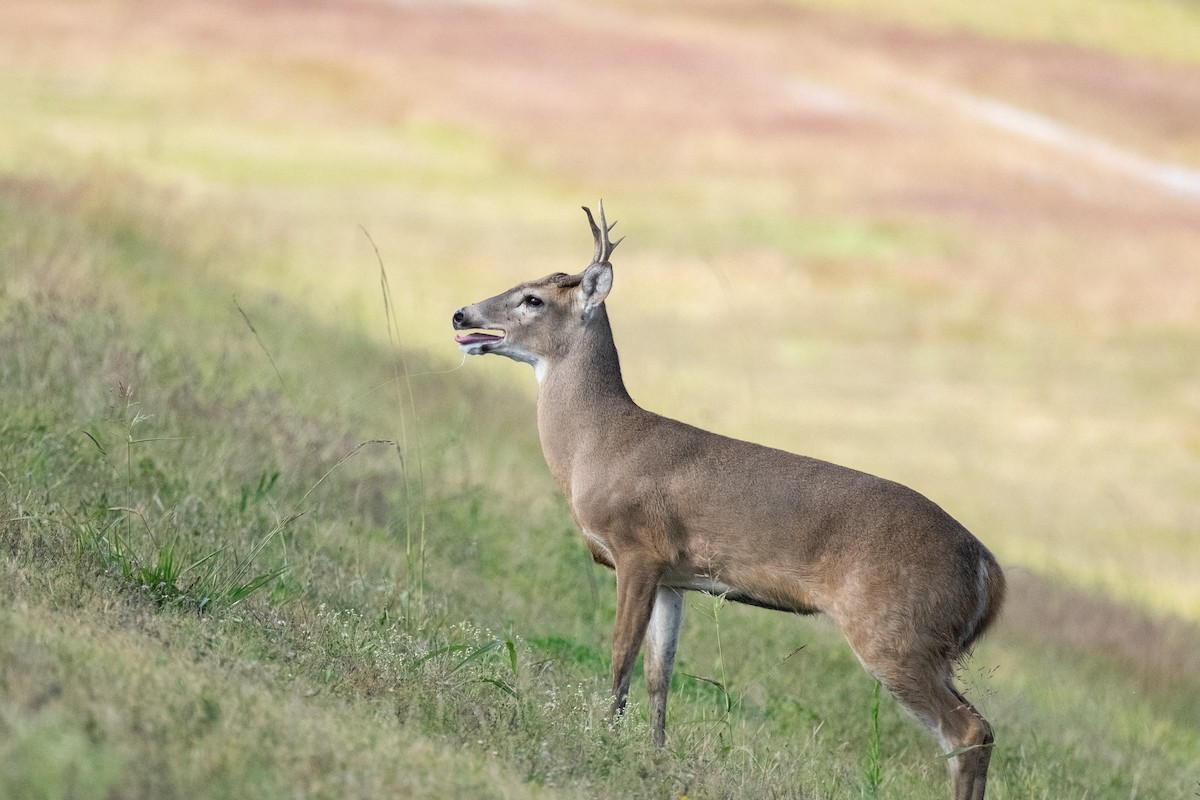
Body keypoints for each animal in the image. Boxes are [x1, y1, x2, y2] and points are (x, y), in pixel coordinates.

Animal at [452, 202, 1005, 800]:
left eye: (533, 298)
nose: (460, 314)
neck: (596, 445)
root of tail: (987, 567)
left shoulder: (637, 550)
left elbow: (620, 657)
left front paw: (601, 738)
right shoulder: (675, 577)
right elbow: (660, 674)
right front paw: (655, 755)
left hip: (895, 630)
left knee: (968, 729)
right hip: (929, 643)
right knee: (977, 729)